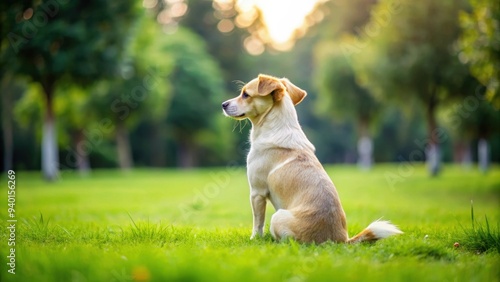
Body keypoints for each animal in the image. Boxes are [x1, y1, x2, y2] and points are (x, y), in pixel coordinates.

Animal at [223, 74, 402, 243]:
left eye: (245, 94)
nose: (223, 104)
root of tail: (341, 241)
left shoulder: (257, 193)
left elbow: (257, 222)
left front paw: (254, 239)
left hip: (277, 217)